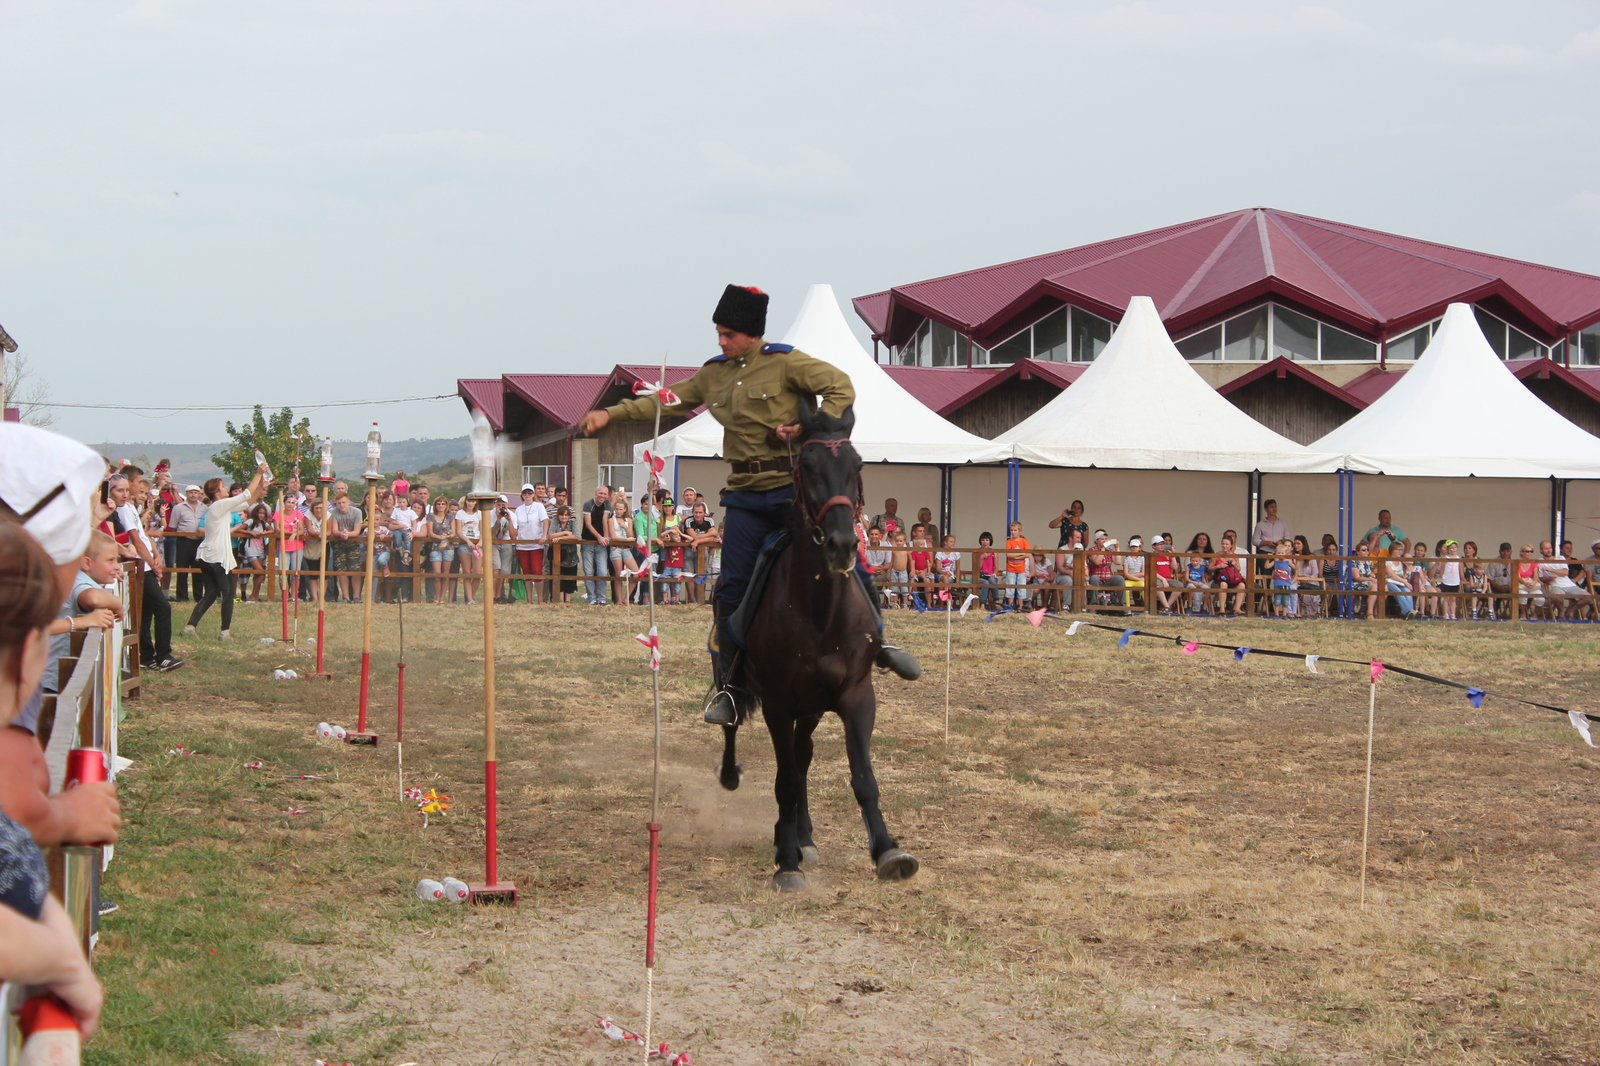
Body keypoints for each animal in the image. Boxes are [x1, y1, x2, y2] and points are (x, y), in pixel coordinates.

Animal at [720, 398, 921, 889]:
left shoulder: (857, 696)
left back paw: (801, 835)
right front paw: (786, 863)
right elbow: (785, 780)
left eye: (857, 464)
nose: (843, 544)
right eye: (807, 466)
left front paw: (887, 850)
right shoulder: (777, 704)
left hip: (811, 709)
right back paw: (737, 781)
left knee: (803, 756)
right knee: (736, 728)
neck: (819, 609)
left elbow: (861, 777)